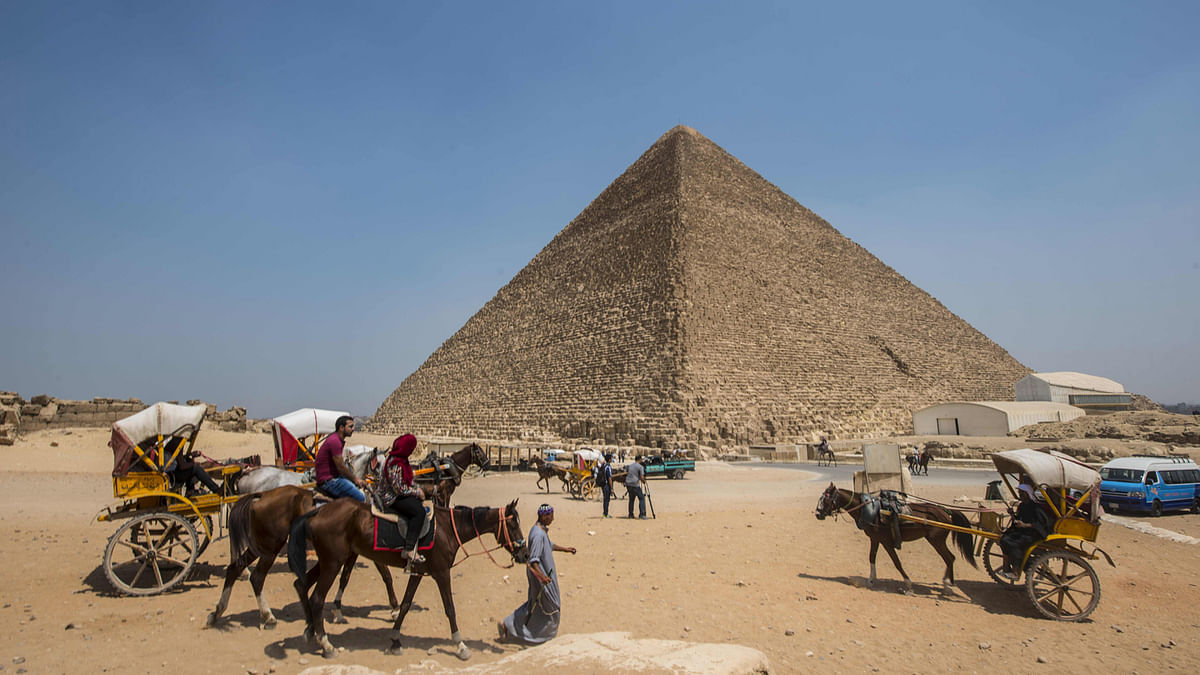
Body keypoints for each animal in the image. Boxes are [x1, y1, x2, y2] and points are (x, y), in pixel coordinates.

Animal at [204, 482, 396, 624]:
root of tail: (261, 496)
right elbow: (385, 575)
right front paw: (394, 609)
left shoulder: (352, 553)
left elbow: (345, 578)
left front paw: (338, 610)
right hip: (271, 546)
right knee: (257, 577)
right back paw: (268, 616)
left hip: (260, 544)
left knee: (235, 568)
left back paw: (217, 612)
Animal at [288, 494, 528, 658]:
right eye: (512, 524)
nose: (524, 554)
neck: (449, 529)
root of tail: (318, 512)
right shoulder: (441, 572)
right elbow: (450, 609)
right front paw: (460, 645)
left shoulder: (419, 571)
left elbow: (405, 604)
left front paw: (395, 640)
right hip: (333, 562)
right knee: (317, 598)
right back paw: (326, 644)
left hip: (330, 559)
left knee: (301, 583)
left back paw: (310, 630)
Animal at [816, 480, 974, 590]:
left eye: (826, 499)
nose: (818, 514)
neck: (869, 509)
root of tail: (946, 511)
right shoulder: (875, 538)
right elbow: (871, 557)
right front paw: (871, 580)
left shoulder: (886, 541)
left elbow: (896, 562)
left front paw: (908, 584)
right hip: (936, 540)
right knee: (950, 558)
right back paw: (948, 583)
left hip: (936, 539)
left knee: (949, 558)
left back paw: (947, 584)